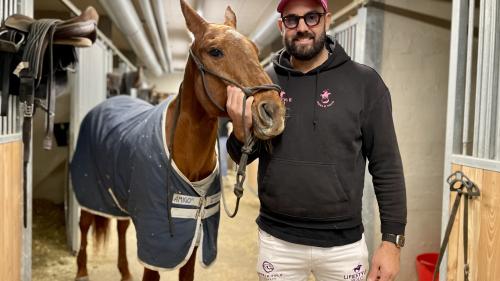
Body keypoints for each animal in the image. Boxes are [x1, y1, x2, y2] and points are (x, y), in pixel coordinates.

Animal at [73, 0, 288, 280]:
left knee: (120, 227)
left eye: (254, 49)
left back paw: (125, 271)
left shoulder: (194, 237)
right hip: (90, 191)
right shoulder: (158, 241)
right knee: (84, 223)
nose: (273, 111)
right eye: (215, 51)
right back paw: (82, 271)